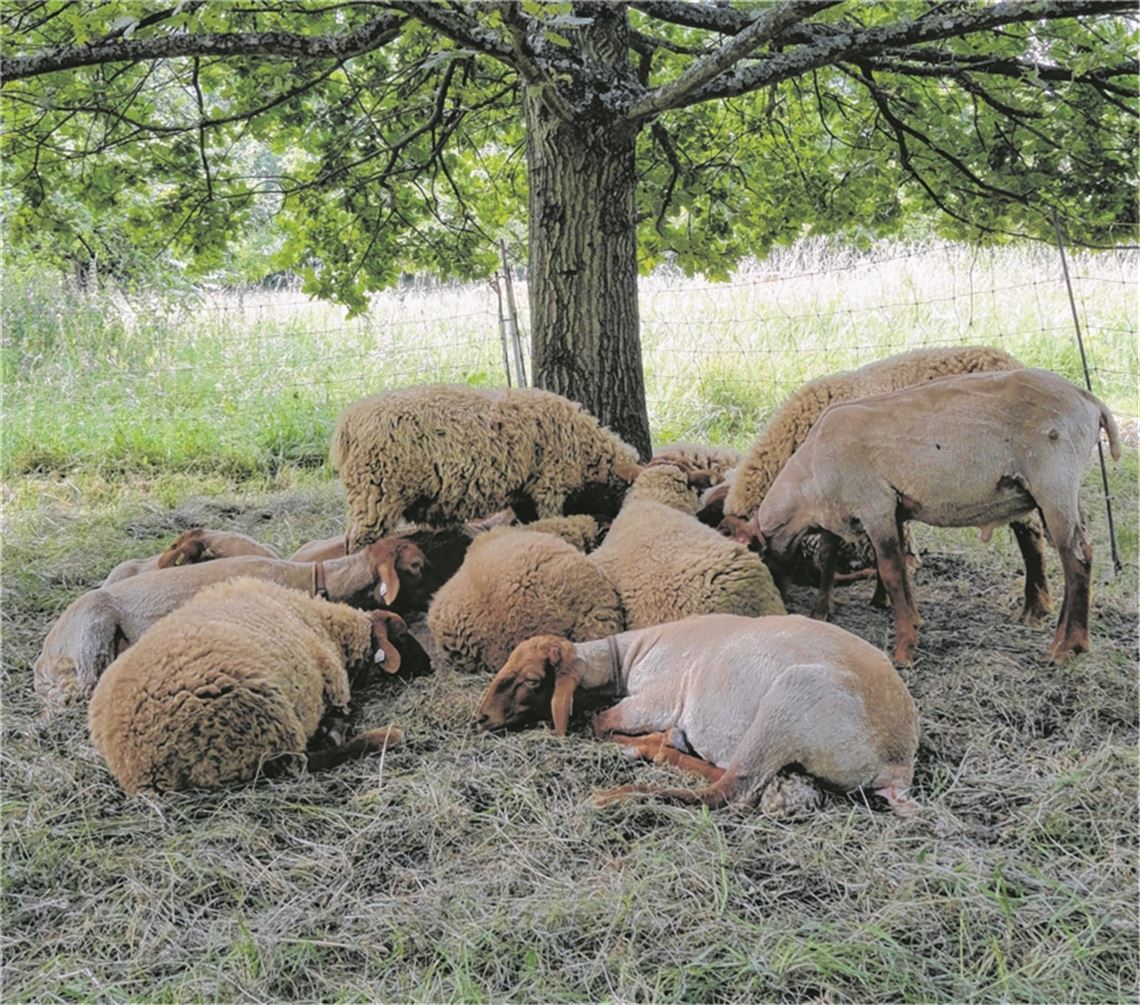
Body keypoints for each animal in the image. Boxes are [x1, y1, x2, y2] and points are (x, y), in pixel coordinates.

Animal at [88, 579, 423, 795]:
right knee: (304, 763)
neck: (321, 623)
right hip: (263, 720)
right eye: (403, 635)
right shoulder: (335, 685)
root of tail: (139, 767)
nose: (429, 665)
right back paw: (384, 736)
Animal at [331, 384, 642, 549]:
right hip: (376, 494)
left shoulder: (524, 494)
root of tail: (349, 422)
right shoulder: (550, 485)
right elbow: (553, 520)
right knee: (358, 544)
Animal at [475, 613, 920, 817]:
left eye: (532, 680)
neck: (626, 658)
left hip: (791, 700)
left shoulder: (656, 698)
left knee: (730, 790)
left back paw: (621, 787)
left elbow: (599, 723)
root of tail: (896, 763)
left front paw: (646, 740)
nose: (480, 718)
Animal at [751, 368, 1122, 664]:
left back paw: (1066, 647)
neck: (808, 482)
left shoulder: (875, 505)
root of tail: (1092, 402)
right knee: (1083, 552)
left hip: (1054, 484)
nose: (773, 612)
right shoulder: (880, 512)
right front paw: (906, 622)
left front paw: (903, 651)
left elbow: (891, 572)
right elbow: (880, 567)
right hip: (1060, 493)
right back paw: (1071, 639)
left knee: (1076, 561)